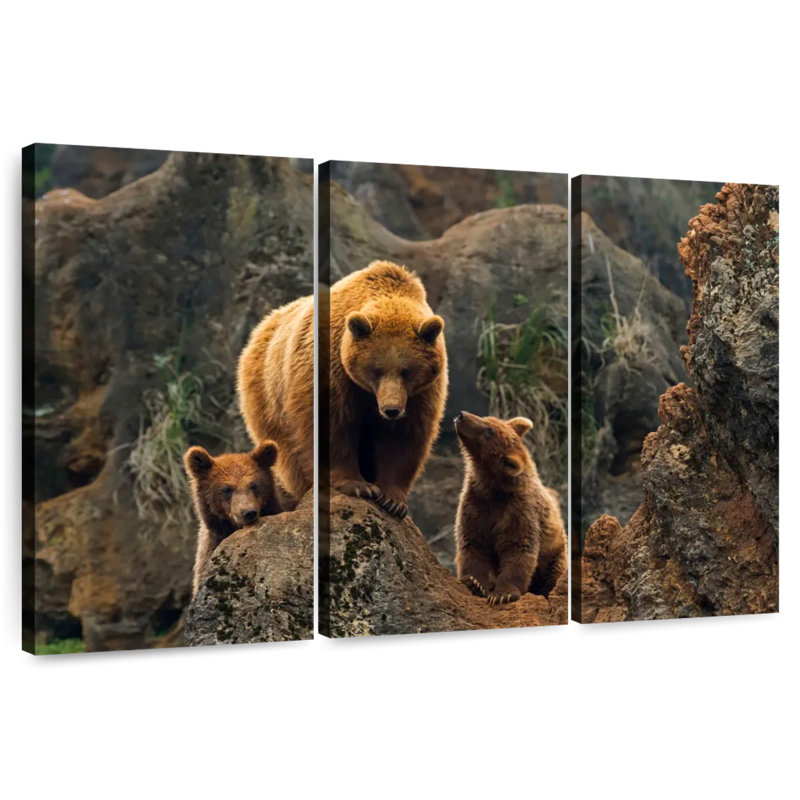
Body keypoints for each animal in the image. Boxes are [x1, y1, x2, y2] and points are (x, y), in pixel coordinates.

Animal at [328, 260, 448, 518]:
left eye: (406, 371)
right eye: (376, 370)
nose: (391, 409)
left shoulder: (421, 394)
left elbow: (403, 437)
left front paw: (392, 500)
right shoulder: (338, 377)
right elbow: (337, 423)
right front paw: (360, 486)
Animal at [453, 411, 567, 605]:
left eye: (489, 430)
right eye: (488, 419)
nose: (461, 415)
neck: (493, 488)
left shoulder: (519, 511)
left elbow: (518, 548)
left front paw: (502, 594)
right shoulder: (474, 505)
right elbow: (472, 543)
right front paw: (475, 583)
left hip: (556, 554)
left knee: (553, 576)